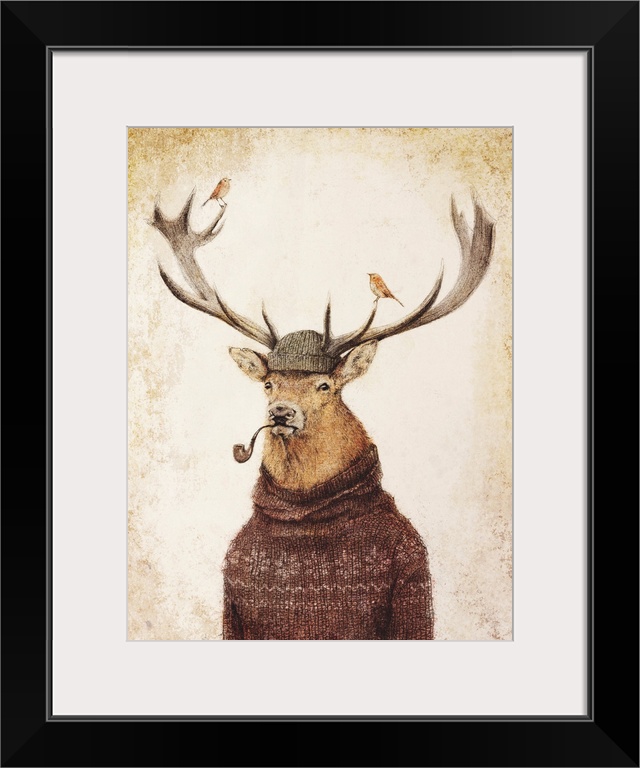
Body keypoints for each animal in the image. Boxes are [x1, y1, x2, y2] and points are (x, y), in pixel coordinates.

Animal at [151, 188, 495, 640]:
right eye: (268, 383)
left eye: (325, 385)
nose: (281, 412)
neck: (304, 521)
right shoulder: (232, 600)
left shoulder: (412, 573)